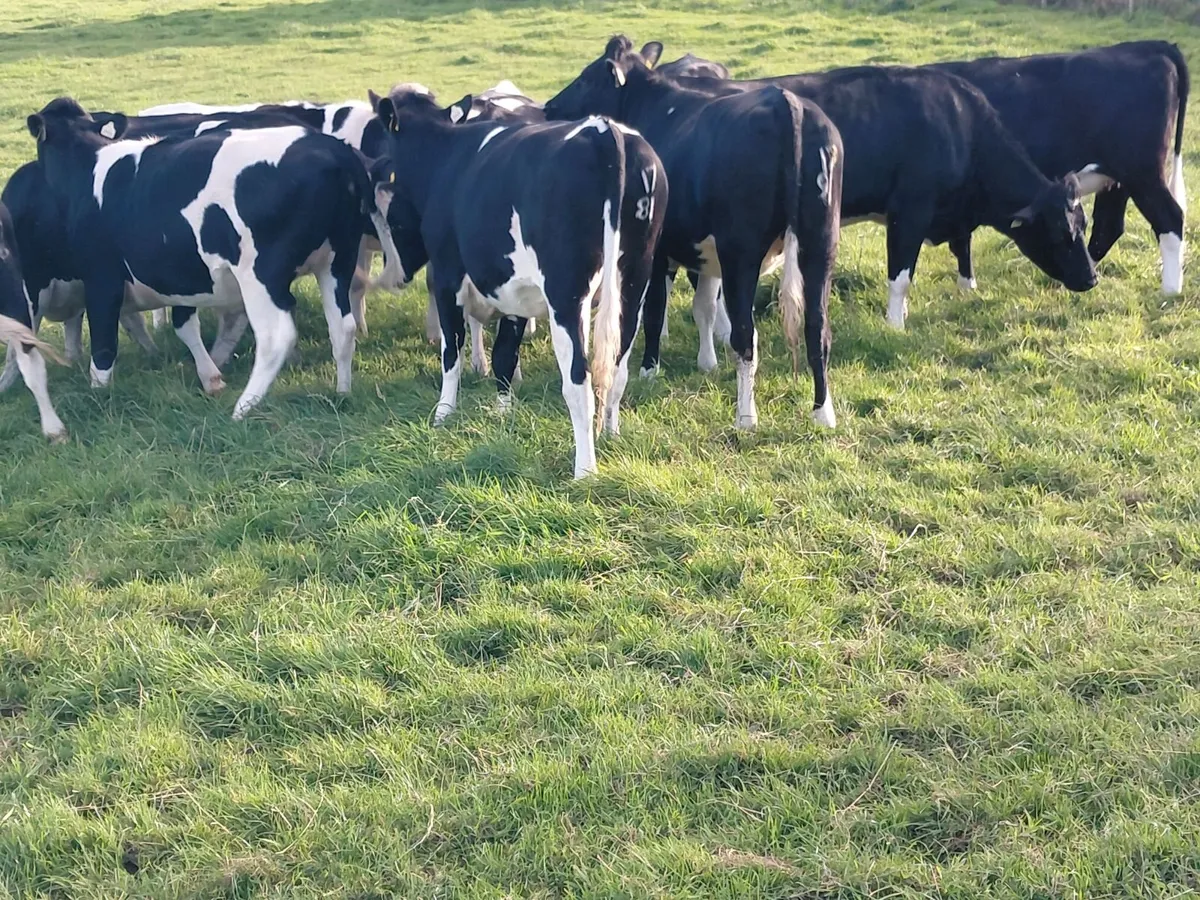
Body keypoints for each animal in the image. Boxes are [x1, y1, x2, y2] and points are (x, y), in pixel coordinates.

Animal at [27, 97, 399, 421]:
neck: (89, 167)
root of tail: (337, 153)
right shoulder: (183, 273)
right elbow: (184, 324)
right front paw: (210, 376)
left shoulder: (101, 277)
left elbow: (104, 344)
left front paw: (98, 392)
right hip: (337, 261)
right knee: (343, 327)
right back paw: (342, 390)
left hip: (262, 275)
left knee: (276, 336)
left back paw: (244, 407)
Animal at [369, 83, 667, 478]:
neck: (444, 158)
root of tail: (602, 130)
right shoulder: (514, 289)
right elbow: (505, 353)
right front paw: (503, 411)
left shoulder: (449, 277)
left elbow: (452, 351)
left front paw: (443, 414)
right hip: (633, 282)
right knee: (617, 368)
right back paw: (611, 434)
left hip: (566, 295)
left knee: (579, 380)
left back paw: (585, 470)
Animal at [545, 37, 843, 430]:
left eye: (585, 78)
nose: (549, 106)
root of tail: (786, 102)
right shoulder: (707, 256)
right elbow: (704, 307)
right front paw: (706, 363)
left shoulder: (660, 252)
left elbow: (654, 311)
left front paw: (650, 369)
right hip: (820, 242)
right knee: (817, 328)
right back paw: (823, 413)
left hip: (742, 253)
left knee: (746, 335)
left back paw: (746, 417)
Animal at [646, 43, 1098, 342]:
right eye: (1061, 233)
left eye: (1084, 223)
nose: (1092, 278)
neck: (960, 125)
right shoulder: (909, 210)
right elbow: (901, 275)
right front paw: (896, 324)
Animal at [925, 41, 1188, 296]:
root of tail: (1148, 45)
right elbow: (961, 238)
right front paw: (966, 287)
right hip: (1117, 179)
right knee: (1108, 226)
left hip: (1143, 175)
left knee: (1170, 219)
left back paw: (1170, 290)